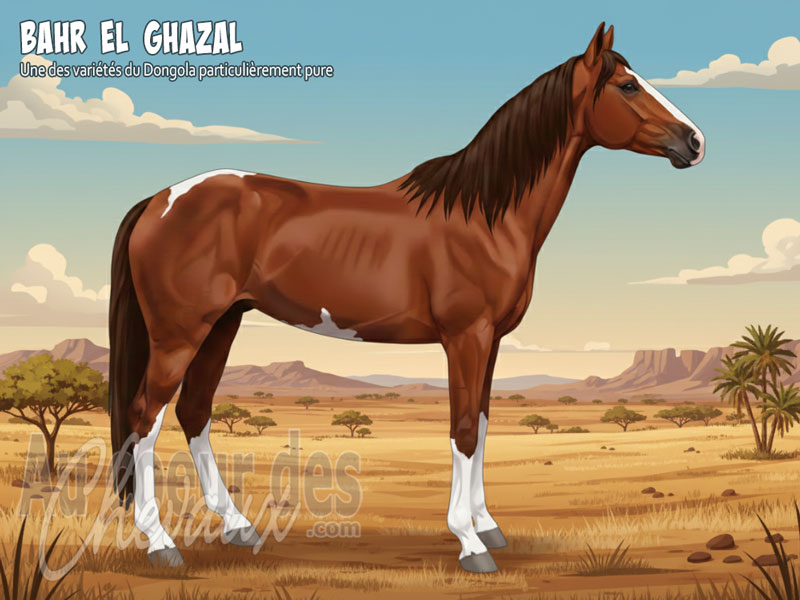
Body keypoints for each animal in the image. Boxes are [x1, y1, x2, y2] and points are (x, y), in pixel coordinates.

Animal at [109, 23, 704, 573]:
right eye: (627, 85)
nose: (695, 141)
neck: (483, 215)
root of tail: (160, 199)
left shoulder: (490, 342)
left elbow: (482, 423)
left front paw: (488, 527)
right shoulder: (466, 337)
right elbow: (463, 431)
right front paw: (469, 544)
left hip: (222, 324)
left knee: (194, 412)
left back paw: (238, 528)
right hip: (180, 333)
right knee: (146, 416)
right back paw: (161, 544)